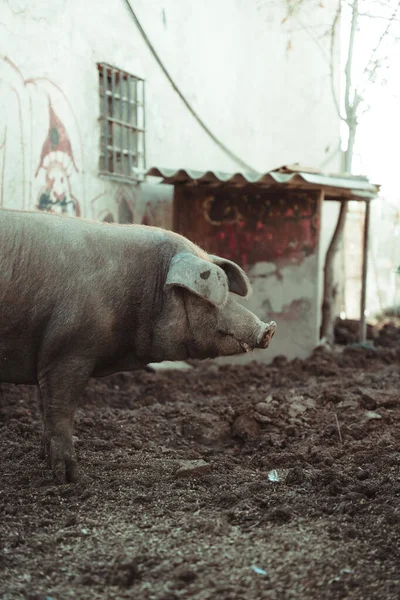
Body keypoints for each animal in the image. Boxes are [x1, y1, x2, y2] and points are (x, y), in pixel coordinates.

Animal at [0, 209, 276, 486]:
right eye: (213, 299)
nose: (269, 329)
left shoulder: (45, 356)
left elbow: (44, 410)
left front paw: (44, 461)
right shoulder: (68, 350)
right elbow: (60, 412)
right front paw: (73, 479)